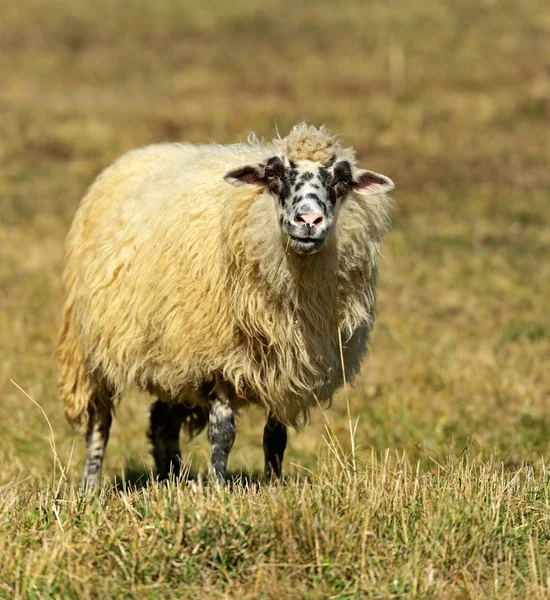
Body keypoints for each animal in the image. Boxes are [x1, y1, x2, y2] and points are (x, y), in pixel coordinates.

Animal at [57, 123, 396, 488]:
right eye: (273, 174)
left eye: (343, 179)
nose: (308, 221)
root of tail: (139, 153)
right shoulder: (218, 357)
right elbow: (223, 434)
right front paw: (219, 488)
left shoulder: (284, 365)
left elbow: (275, 438)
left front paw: (273, 485)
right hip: (92, 349)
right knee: (99, 422)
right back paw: (91, 486)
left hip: (171, 355)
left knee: (162, 421)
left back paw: (171, 479)